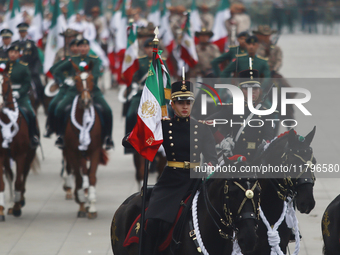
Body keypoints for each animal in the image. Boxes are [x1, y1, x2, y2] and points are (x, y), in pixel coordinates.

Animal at [61, 60, 107, 218]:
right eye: (76, 80)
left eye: (92, 79)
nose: (86, 101)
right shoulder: (74, 152)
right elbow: (80, 178)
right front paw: (81, 205)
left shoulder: (95, 150)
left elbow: (91, 176)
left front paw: (92, 207)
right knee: (76, 171)